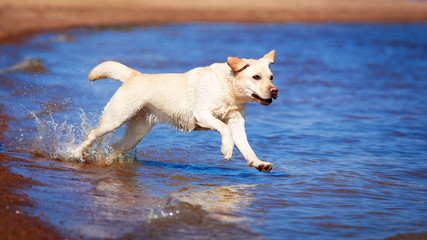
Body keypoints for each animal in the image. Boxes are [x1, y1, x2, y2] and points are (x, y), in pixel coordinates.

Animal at [71, 50, 278, 172]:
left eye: (271, 77)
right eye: (256, 77)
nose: (275, 91)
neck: (230, 90)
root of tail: (135, 75)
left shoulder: (237, 123)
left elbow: (247, 147)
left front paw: (259, 163)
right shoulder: (202, 114)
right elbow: (223, 129)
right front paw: (227, 149)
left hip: (137, 132)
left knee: (115, 148)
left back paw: (106, 164)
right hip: (115, 118)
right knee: (92, 134)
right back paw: (74, 153)